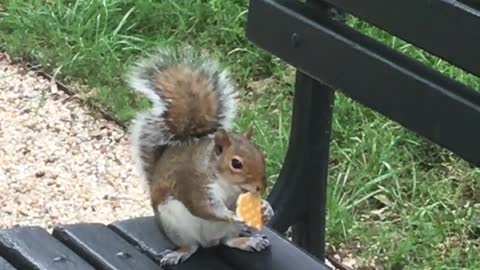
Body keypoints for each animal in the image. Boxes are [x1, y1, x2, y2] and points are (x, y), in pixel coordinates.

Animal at [126, 48, 274, 266]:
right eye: (236, 163)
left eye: (261, 154)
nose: (260, 187)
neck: (228, 185)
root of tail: (209, 242)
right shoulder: (194, 184)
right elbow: (205, 208)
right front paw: (232, 214)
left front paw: (266, 207)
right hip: (176, 226)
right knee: (192, 246)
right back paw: (179, 253)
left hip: (226, 233)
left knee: (227, 241)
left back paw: (248, 241)